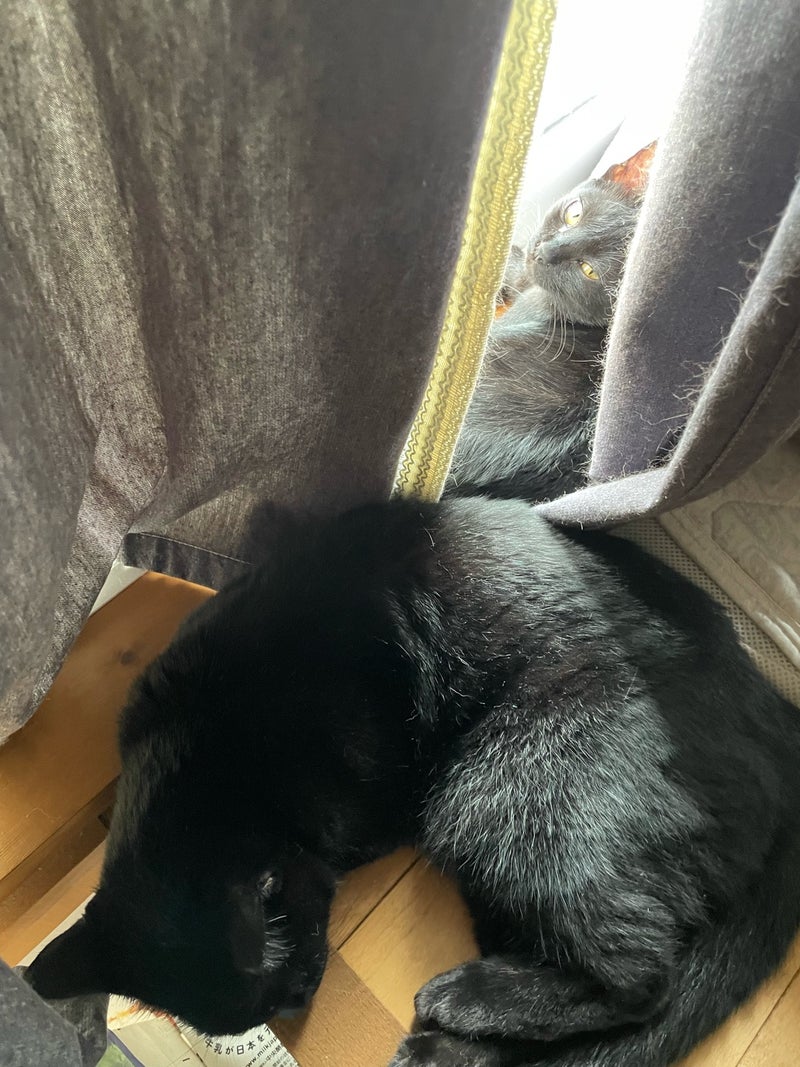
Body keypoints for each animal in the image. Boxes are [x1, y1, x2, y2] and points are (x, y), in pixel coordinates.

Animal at [27, 496, 800, 1067]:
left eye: (281, 985)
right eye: (267, 1005)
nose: (297, 1000)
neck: (206, 746)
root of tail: (777, 728)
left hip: (501, 792)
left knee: (644, 981)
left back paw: (461, 1001)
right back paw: (447, 1046)